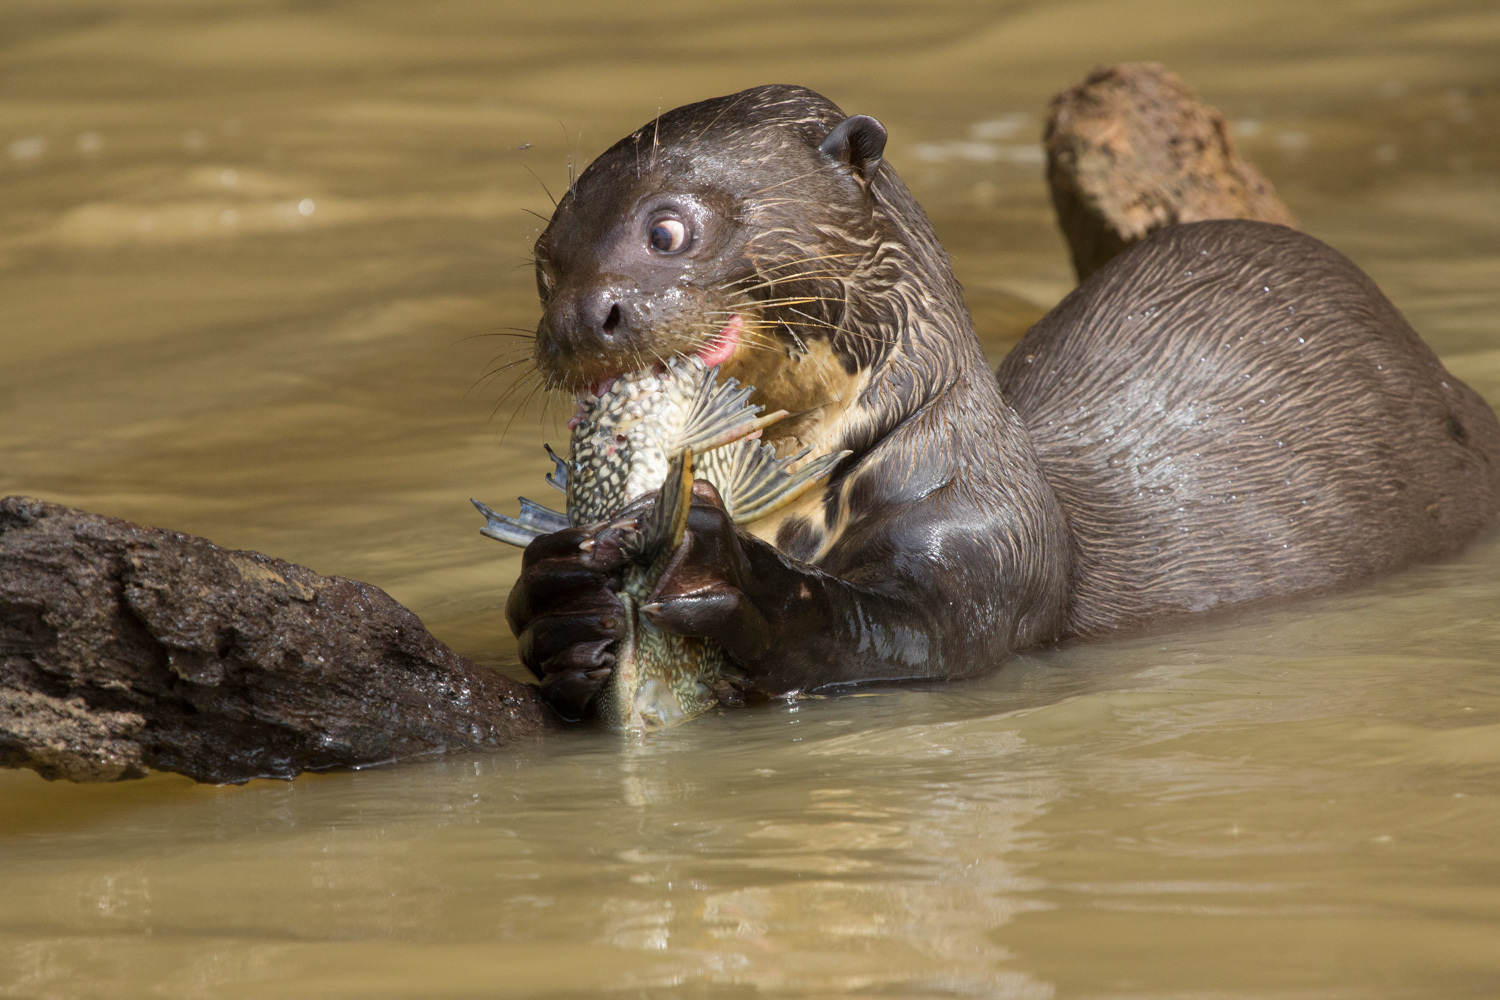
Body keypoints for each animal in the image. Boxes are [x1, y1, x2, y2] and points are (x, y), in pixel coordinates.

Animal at [504, 84, 1500, 720]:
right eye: (545, 264)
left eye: (668, 229)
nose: (582, 316)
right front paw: (560, 599)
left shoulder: (995, 532)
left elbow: (905, 634)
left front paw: (726, 569)